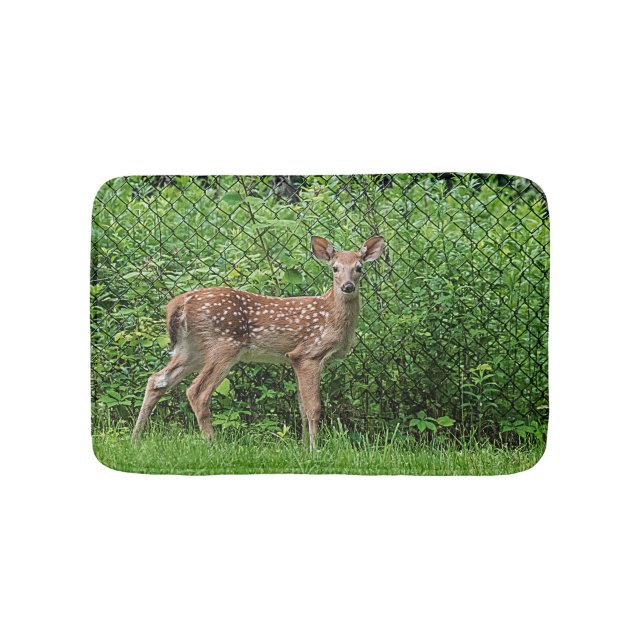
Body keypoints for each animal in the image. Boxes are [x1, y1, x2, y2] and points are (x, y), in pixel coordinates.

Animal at [132, 235, 386, 450]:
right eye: (335, 268)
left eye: (359, 268)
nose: (347, 286)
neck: (331, 316)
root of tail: (180, 302)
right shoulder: (309, 354)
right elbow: (314, 407)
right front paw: (316, 450)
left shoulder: (293, 358)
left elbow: (302, 407)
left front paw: (304, 448)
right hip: (224, 345)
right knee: (197, 392)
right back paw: (213, 445)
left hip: (191, 349)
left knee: (157, 380)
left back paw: (136, 438)